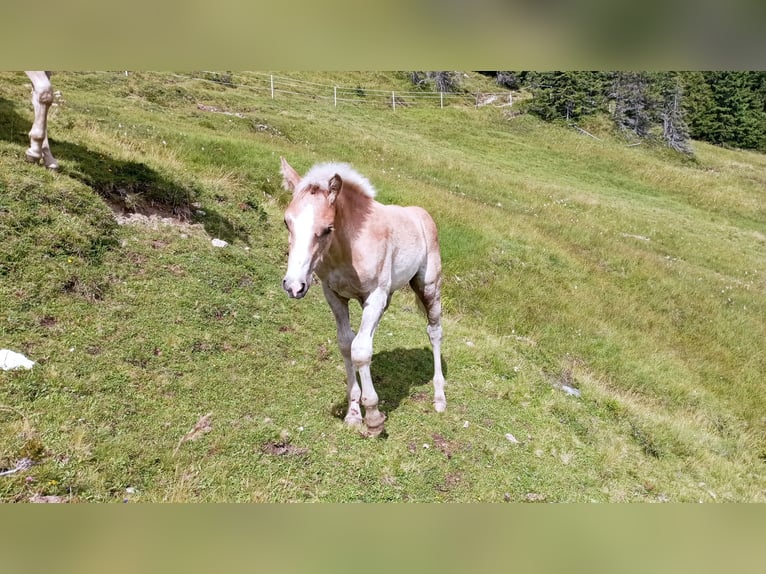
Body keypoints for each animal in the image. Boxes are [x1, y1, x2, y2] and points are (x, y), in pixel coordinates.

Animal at [282, 158, 448, 436]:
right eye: (287, 222)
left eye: (327, 228)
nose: (294, 286)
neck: (348, 248)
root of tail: (422, 214)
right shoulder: (333, 294)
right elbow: (346, 344)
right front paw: (352, 413)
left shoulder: (375, 295)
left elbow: (359, 350)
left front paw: (373, 417)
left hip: (428, 286)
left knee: (434, 331)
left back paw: (439, 397)